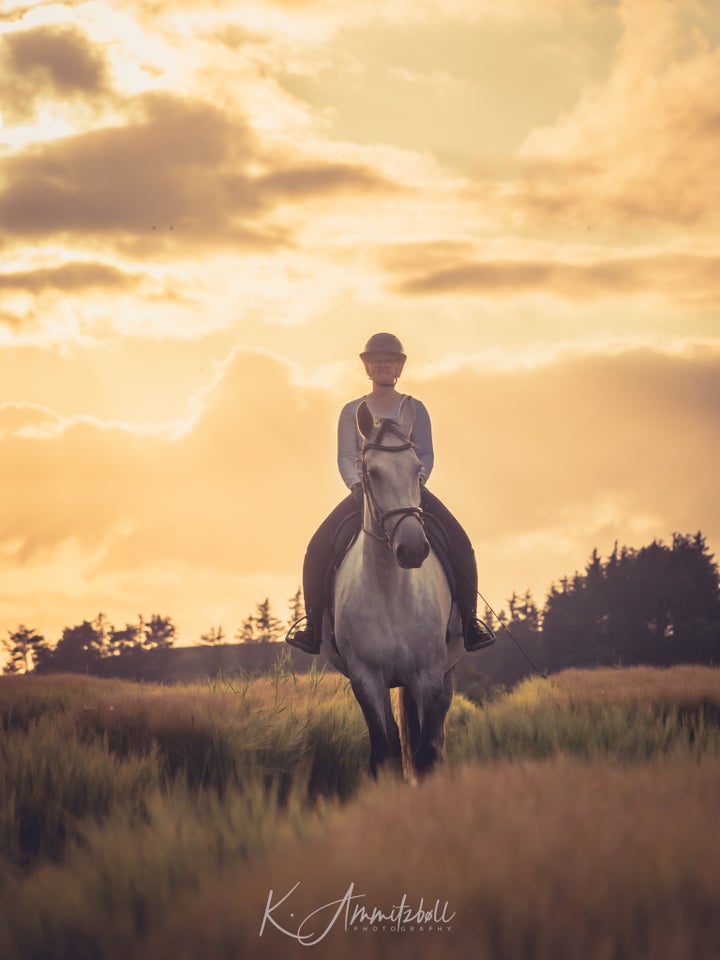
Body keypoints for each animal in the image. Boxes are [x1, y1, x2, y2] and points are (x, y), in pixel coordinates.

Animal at [322, 398, 466, 780]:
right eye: (371, 473)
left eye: (417, 469)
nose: (413, 548)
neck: (391, 590)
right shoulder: (366, 679)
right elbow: (384, 752)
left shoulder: (428, 676)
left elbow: (426, 754)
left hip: (444, 674)